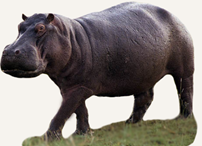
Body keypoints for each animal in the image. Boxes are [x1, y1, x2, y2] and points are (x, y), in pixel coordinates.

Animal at [0, 2, 194, 140]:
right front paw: (82, 135)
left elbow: (63, 111)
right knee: (144, 98)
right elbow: (79, 111)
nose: (9, 51)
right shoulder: (70, 85)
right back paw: (129, 124)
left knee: (185, 91)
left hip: (184, 69)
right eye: (19, 26)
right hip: (143, 73)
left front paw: (47, 139)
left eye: (41, 28)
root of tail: (173, 14)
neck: (71, 36)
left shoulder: (80, 87)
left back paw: (183, 119)